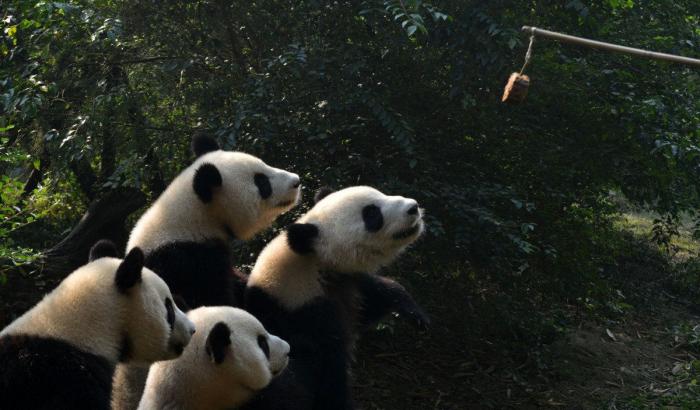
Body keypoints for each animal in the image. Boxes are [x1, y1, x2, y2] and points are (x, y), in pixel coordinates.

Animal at [243, 186, 425, 410]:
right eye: (372, 214)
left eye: (381, 195)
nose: (413, 207)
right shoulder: (305, 316)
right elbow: (325, 382)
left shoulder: (345, 283)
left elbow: (373, 299)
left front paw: (415, 313)